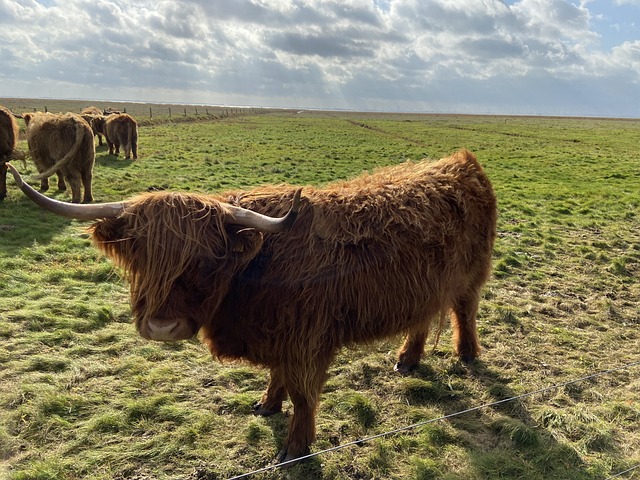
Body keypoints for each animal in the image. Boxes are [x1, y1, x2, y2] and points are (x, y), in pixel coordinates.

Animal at [7, 149, 498, 462]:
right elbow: (278, 378)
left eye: (207, 260)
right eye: (142, 257)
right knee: (423, 318)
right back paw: (407, 359)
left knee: (465, 311)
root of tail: (461, 163)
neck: (258, 266)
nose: (163, 327)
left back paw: (467, 355)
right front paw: (266, 405)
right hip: (425, 286)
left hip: (472, 275)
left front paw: (295, 447)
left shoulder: (305, 339)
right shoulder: (280, 333)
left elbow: (302, 394)